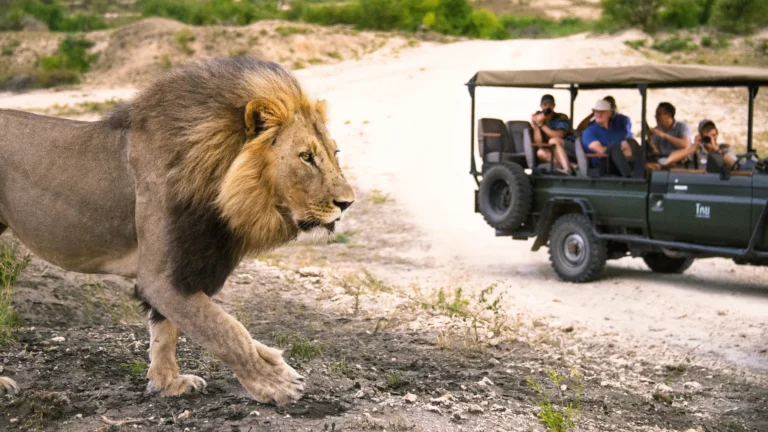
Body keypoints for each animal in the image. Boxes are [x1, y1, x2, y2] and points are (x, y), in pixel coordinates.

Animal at [0, 56, 354, 404]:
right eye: (306, 157)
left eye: (335, 153)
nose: (347, 203)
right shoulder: (160, 277)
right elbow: (226, 330)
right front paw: (275, 382)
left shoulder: (185, 265)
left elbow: (166, 331)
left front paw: (168, 382)